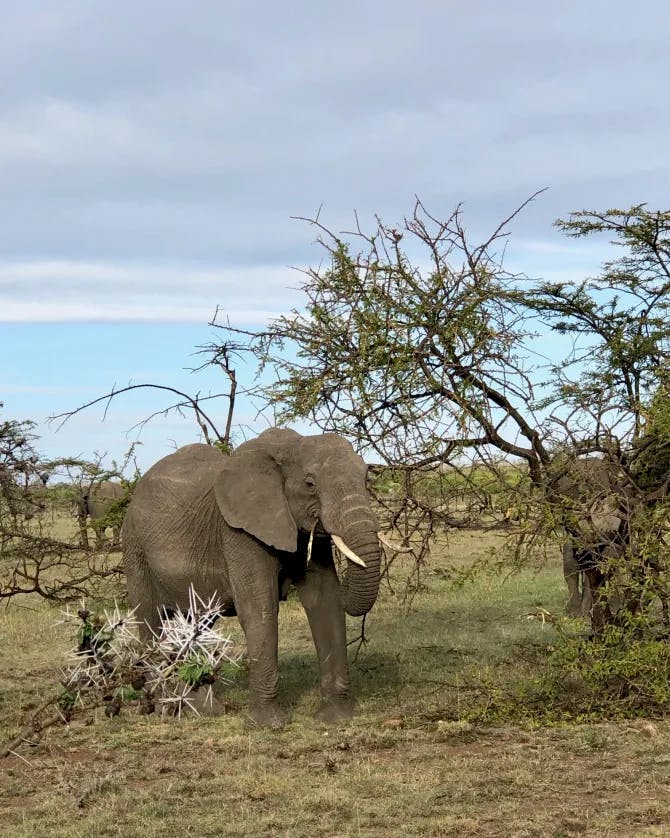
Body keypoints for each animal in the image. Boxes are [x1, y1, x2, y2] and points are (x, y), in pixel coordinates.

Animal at [122, 430, 384, 724]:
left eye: (365, 477)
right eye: (310, 484)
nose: (349, 578)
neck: (288, 447)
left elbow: (324, 600)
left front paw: (335, 719)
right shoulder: (238, 533)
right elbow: (259, 608)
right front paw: (269, 724)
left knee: (195, 626)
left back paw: (200, 710)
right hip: (134, 547)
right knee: (150, 619)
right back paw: (162, 708)